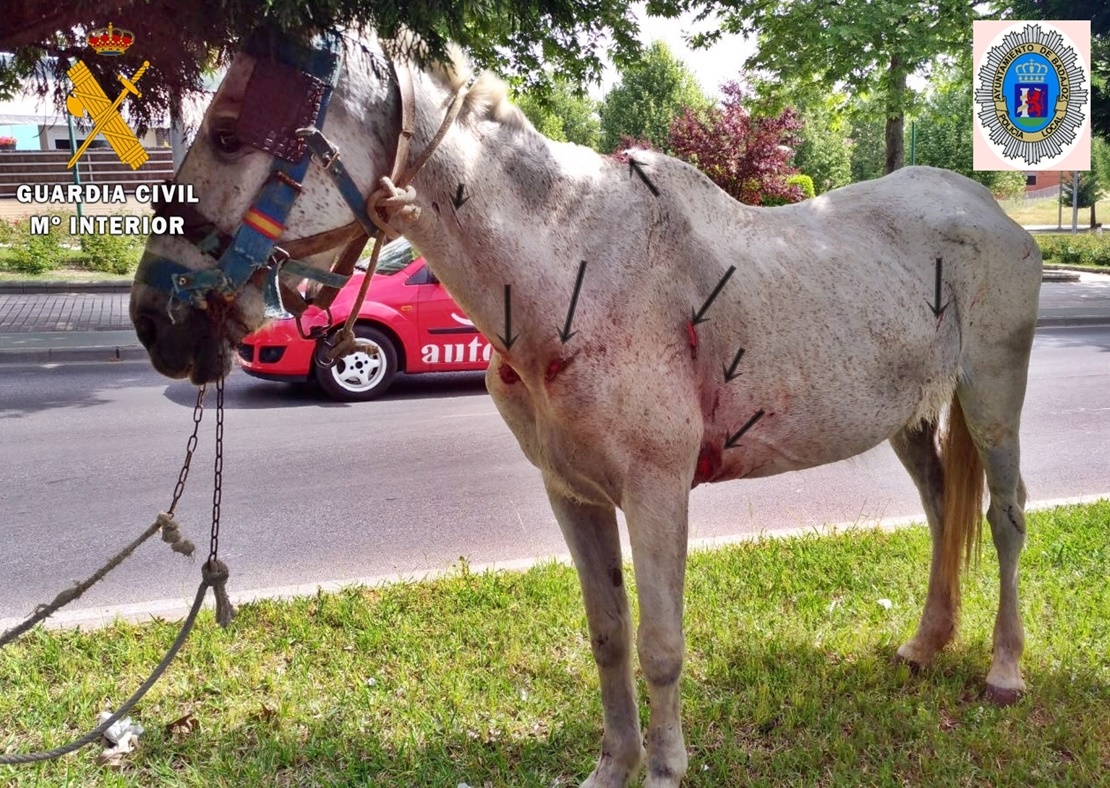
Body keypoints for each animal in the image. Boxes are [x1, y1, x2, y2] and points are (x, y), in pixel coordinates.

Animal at [129, 29, 1038, 785]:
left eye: (227, 134)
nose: (154, 320)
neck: (576, 268)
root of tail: (988, 211)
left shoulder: (657, 491)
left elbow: (662, 645)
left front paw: (664, 770)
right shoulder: (572, 492)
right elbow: (609, 635)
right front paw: (614, 767)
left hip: (991, 396)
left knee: (1003, 516)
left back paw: (1003, 670)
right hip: (911, 417)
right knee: (940, 508)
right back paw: (926, 644)